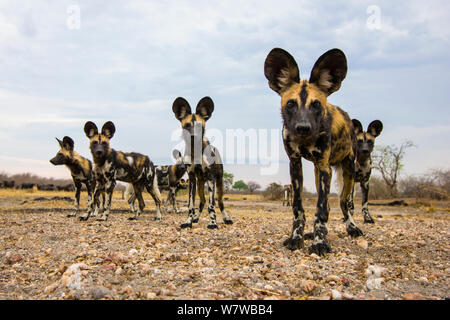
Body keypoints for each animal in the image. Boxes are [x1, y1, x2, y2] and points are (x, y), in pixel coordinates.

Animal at [172, 96, 234, 229]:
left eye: (200, 126)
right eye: (187, 126)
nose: (194, 136)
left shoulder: (211, 178)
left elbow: (212, 205)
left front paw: (213, 223)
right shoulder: (192, 180)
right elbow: (191, 205)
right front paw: (188, 221)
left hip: (219, 182)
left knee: (220, 202)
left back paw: (226, 219)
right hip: (200, 184)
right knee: (202, 201)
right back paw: (196, 218)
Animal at [264, 47, 366, 255]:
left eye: (316, 104)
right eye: (291, 104)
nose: (303, 128)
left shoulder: (325, 166)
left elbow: (321, 210)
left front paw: (320, 243)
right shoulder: (295, 165)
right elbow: (298, 208)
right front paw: (297, 237)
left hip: (347, 171)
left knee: (344, 203)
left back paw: (352, 228)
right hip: (319, 172)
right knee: (328, 203)